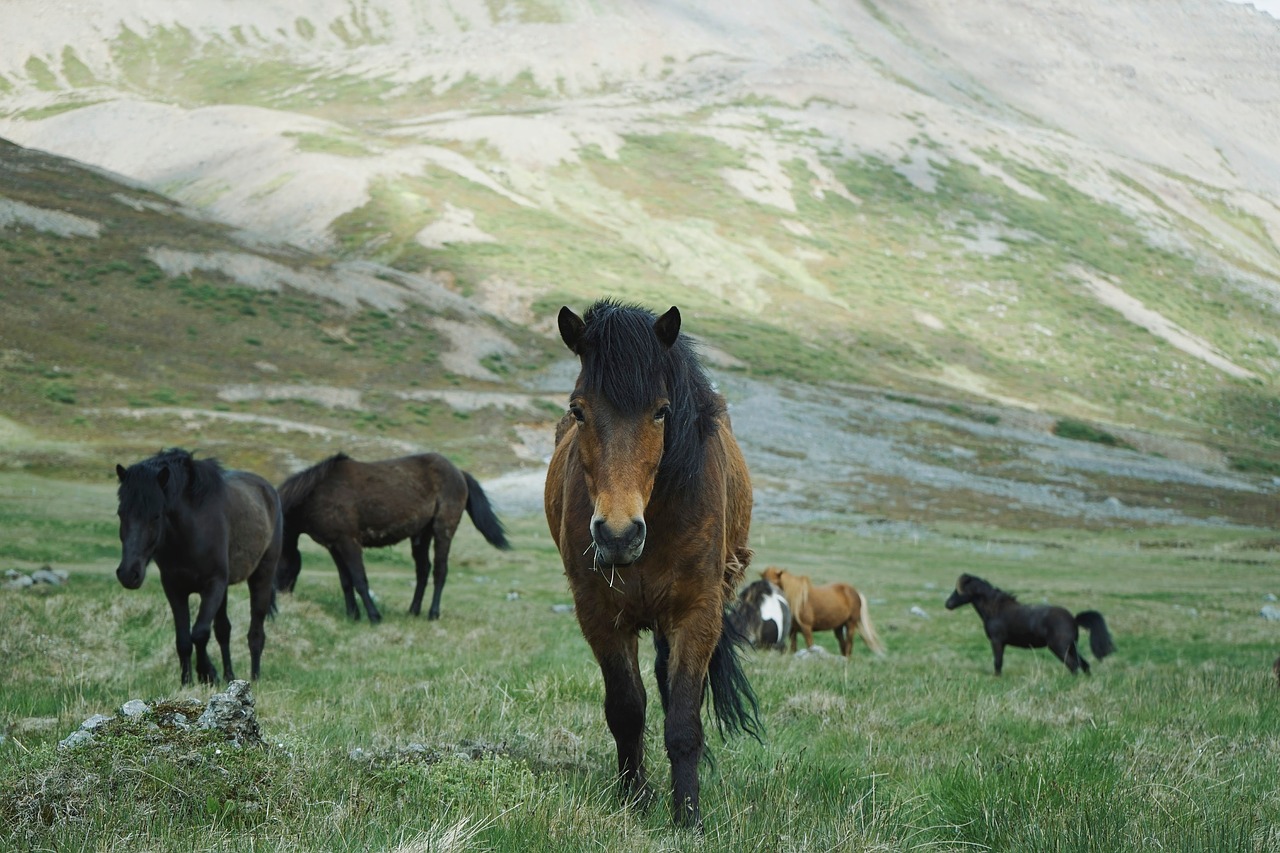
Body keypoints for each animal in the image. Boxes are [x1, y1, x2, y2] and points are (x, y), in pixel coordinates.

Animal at [115, 448, 282, 681]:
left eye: (156, 515)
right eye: (121, 513)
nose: (128, 574)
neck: (191, 532)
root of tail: (268, 490)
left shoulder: (213, 586)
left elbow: (200, 633)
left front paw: (207, 673)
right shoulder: (174, 588)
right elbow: (184, 640)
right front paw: (187, 681)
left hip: (262, 577)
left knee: (256, 633)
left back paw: (255, 678)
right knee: (223, 630)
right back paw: (229, 676)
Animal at [275, 448, 509, 622]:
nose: (280, 597)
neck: (316, 494)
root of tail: (459, 472)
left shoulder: (349, 542)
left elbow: (360, 580)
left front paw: (374, 616)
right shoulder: (334, 546)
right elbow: (346, 581)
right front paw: (353, 615)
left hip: (443, 530)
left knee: (440, 571)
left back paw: (433, 614)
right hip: (421, 535)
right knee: (423, 571)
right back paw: (413, 611)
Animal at [542, 297, 757, 824]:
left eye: (661, 412)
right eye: (578, 410)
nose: (618, 535)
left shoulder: (696, 615)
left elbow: (683, 720)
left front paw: (688, 817)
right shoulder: (600, 616)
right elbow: (626, 710)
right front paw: (635, 799)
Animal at [752, 563, 885, 655]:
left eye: (775, 582)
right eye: (761, 582)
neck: (797, 602)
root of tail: (855, 591)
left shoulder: (806, 628)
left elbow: (810, 646)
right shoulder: (792, 631)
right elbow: (793, 649)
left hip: (850, 625)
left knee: (848, 646)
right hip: (838, 627)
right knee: (843, 646)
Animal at [947, 573, 1116, 676]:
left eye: (958, 590)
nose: (947, 604)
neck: (996, 609)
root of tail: (1073, 619)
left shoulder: (997, 642)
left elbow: (998, 662)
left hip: (1060, 648)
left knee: (1073, 665)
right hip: (1071, 647)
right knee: (1084, 664)